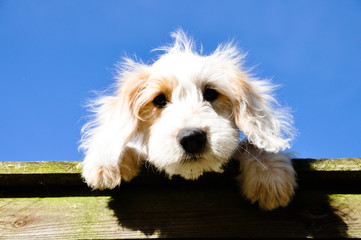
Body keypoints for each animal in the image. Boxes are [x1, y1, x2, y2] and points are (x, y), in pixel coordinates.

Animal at [79, 29, 296, 210]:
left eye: (211, 93)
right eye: (159, 100)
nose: (191, 138)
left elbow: (250, 145)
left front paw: (270, 173)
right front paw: (106, 161)